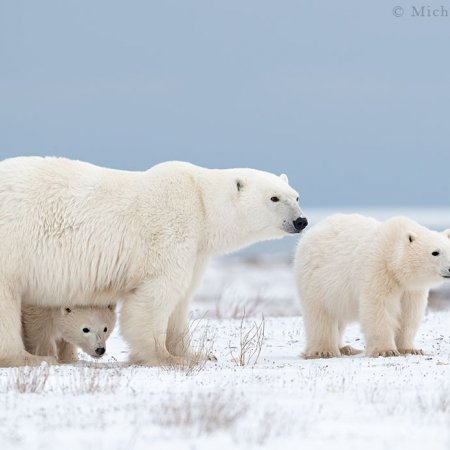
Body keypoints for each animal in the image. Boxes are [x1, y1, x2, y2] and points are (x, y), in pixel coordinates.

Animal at [0, 156, 306, 368]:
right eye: (274, 197)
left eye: (297, 196)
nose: (301, 221)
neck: (201, 203)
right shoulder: (170, 232)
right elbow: (156, 296)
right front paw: (164, 357)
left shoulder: (197, 251)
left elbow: (181, 301)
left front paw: (198, 354)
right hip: (13, 243)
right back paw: (26, 357)